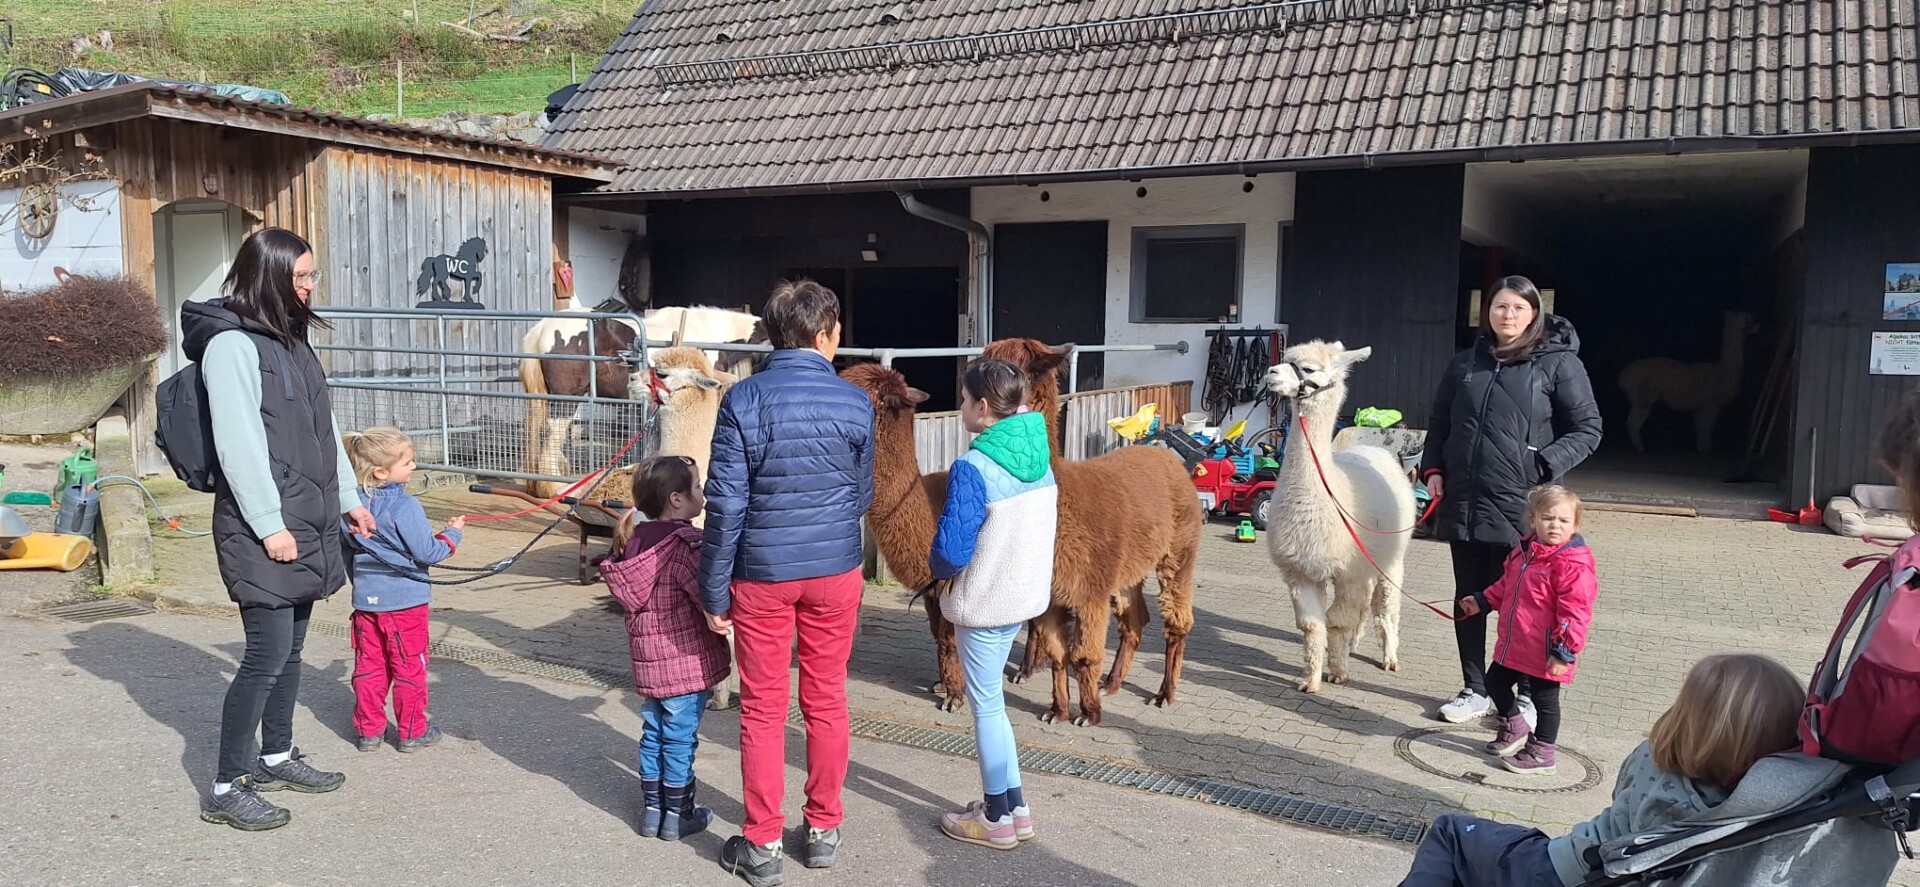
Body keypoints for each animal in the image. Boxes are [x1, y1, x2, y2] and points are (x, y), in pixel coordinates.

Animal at [845, 349, 1203, 727]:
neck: (929, 504)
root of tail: (1167, 456)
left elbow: (950, 639)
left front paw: (955, 695)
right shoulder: (935, 588)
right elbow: (941, 637)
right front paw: (944, 685)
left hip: (1176, 553)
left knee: (1173, 619)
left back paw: (1162, 694)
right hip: (1126, 567)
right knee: (1134, 619)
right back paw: (1110, 682)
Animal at [1262, 341, 1413, 694]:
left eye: (1310, 368)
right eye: (1286, 359)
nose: (1270, 372)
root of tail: (1374, 449)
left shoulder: (1348, 571)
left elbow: (1338, 620)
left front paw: (1338, 671)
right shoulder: (1300, 571)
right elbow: (1313, 625)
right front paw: (1312, 679)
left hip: (1390, 557)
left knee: (1386, 605)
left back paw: (1389, 657)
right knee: (1366, 604)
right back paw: (1354, 645)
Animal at [1619, 310, 1760, 454]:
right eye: (1748, 320)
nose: (1757, 323)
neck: (1725, 371)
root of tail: (1624, 376)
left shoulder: (1700, 408)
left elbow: (1700, 429)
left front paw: (1701, 447)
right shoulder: (1711, 405)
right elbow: (1706, 429)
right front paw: (1705, 450)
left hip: (1641, 399)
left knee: (1632, 423)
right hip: (1643, 398)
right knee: (1632, 424)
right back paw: (1640, 448)